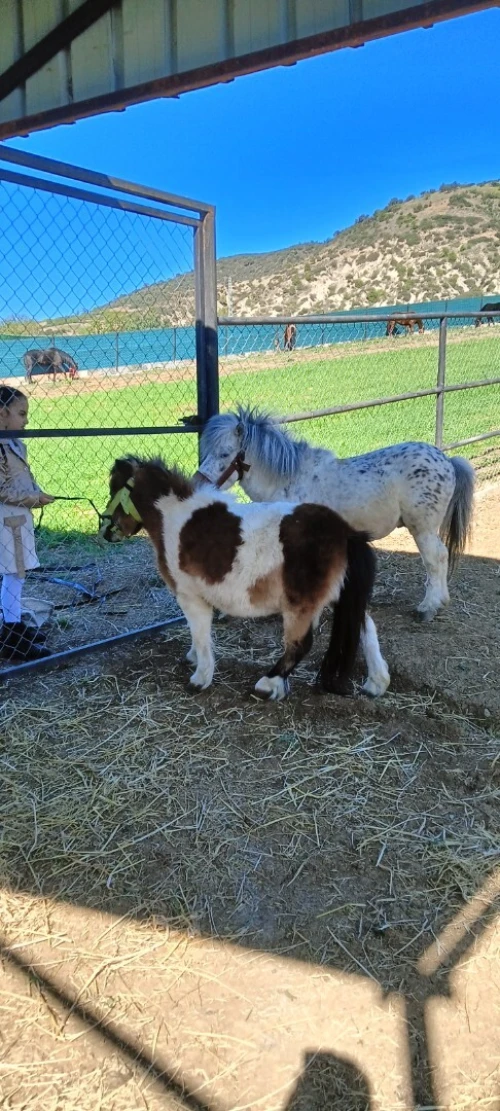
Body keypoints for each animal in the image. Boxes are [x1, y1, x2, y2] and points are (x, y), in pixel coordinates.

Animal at [100, 455, 390, 700]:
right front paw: (193, 658)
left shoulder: (190, 597)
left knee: (300, 644)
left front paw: (200, 678)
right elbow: (197, 634)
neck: (175, 517)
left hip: (300, 605)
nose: (106, 531)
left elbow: (201, 634)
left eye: (114, 489)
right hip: (339, 596)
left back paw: (268, 684)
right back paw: (377, 682)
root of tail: (345, 532)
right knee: (365, 626)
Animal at [196, 407, 475, 623]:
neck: (289, 480)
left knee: (436, 559)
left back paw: (428, 607)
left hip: (422, 529)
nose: (199, 483)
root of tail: (447, 461)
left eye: (224, 453)